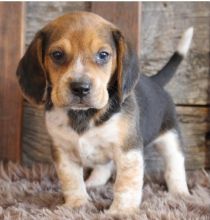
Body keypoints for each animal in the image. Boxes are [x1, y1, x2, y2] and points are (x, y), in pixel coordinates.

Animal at [16, 11, 194, 213]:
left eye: (103, 55)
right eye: (57, 55)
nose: (80, 88)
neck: (84, 114)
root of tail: (155, 82)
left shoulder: (128, 151)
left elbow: (126, 185)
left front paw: (121, 211)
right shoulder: (63, 152)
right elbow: (71, 181)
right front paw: (77, 203)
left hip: (170, 137)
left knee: (175, 165)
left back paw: (179, 192)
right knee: (105, 167)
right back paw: (93, 183)